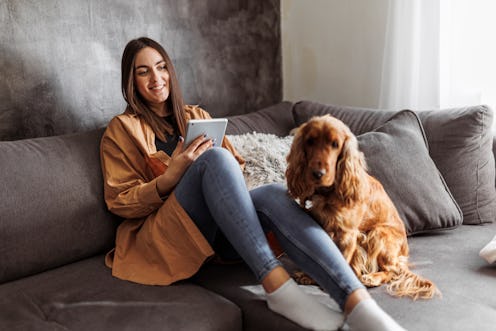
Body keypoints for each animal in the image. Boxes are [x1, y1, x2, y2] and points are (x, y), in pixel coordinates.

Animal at [286, 116, 438, 300]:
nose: (317, 174)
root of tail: (404, 253)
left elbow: (339, 263)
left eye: (335, 144)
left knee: (392, 271)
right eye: (310, 141)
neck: (328, 194)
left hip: (378, 234)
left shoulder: (347, 235)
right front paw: (308, 275)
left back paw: (372, 278)